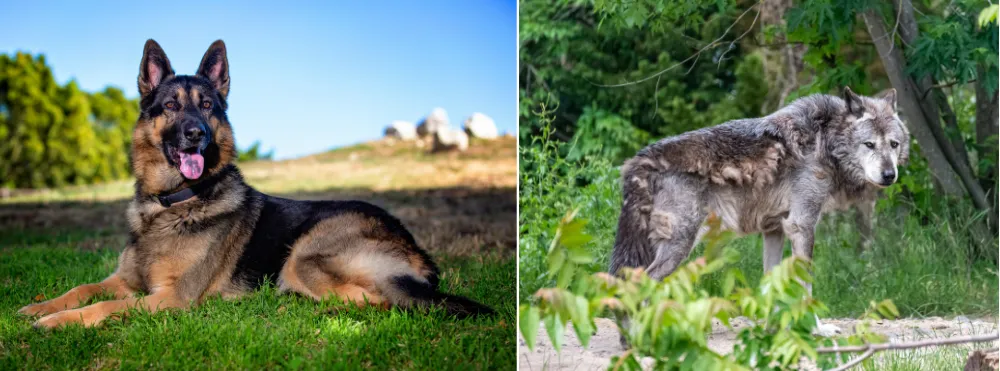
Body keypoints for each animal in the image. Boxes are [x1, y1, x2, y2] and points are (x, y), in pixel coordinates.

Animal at [17, 39, 494, 328]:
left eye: (208, 106)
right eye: (171, 106)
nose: (196, 134)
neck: (172, 203)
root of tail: (417, 250)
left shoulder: (169, 299)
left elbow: (106, 305)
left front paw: (55, 323)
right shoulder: (126, 279)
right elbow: (82, 289)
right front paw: (38, 306)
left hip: (304, 257)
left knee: (376, 302)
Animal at [608, 88, 908, 344]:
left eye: (893, 144)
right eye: (869, 144)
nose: (889, 175)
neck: (826, 140)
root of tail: (640, 160)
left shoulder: (773, 230)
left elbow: (770, 283)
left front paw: (773, 329)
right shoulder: (801, 226)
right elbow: (805, 287)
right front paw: (816, 329)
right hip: (679, 245)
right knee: (637, 287)